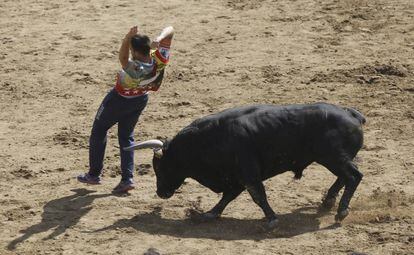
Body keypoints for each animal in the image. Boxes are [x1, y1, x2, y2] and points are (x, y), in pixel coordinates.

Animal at [124, 102, 364, 228]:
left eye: (160, 167)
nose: (160, 192)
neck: (210, 139)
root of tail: (353, 115)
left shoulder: (248, 173)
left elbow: (258, 195)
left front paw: (271, 219)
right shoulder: (236, 177)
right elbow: (227, 197)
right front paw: (210, 213)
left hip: (334, 158)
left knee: (353, 176)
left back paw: (341, 211)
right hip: (333, 159)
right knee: (343, 178)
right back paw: (328, 201)